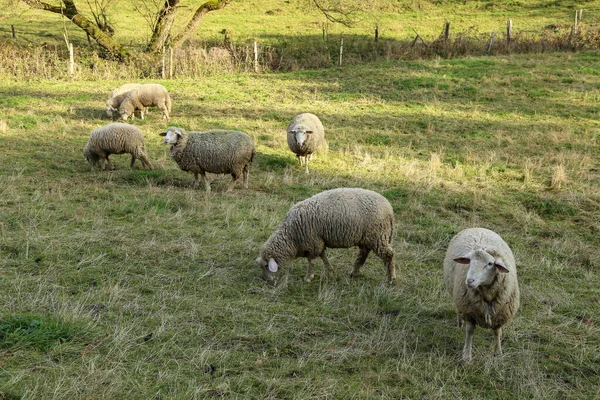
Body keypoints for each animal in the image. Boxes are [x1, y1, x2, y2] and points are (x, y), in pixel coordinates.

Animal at [255, 188, 396, 284]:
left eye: (267, 266)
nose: (267, 280)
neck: (291, 236)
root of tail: (389, 207)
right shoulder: (319, 241)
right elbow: (323, 256)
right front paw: (330, 269)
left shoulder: (313, 242)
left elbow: (312, 261)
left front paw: (308, 277)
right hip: (367, 238)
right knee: (363, 255)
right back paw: (353, 273)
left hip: (378, 235)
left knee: (388, 255)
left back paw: (390, 279)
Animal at [440, 228, 520, 362]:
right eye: (470, 261)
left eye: (490, 264)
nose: (469, 281)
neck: (487, 294)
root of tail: (478, 228)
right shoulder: (469, 312)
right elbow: (470, 332)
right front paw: (466, 356)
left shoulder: (500, 315)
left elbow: (497, 332)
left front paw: (498, 353)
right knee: (458, 311)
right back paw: (459, 323)